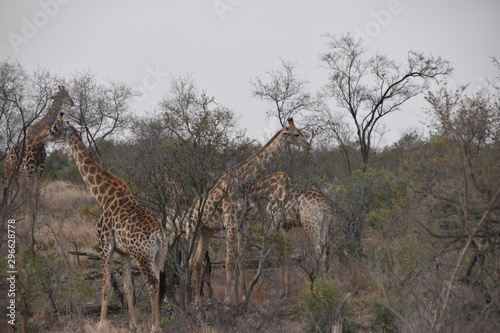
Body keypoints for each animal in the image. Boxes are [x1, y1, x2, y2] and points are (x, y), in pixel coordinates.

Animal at [36, 112, 168, 332]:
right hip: (159, 256)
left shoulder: (104, 245)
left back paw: (155, 326)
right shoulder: (124, 252)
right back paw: (156, 323)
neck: (104, 197)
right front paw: (132, 323)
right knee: (159, 281)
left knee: (152, 284)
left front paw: (100, 323)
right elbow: (127, 286)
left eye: (53, 128)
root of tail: (159, 233)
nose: (39, 138)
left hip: (142, 256)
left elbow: (106, 285)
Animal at [190, 118, 310, 304]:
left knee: (197, 261)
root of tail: (191, 210)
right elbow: (229, 261)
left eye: (301, 131)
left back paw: (197, 302)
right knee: (188, 261)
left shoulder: (243, 224)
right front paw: (228, 301)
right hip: (192, 231)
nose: (309, 145)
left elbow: (241, 260)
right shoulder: (231, 223)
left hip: (207, 231)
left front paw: (243, 297)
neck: (244, 181)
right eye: (296, 134)